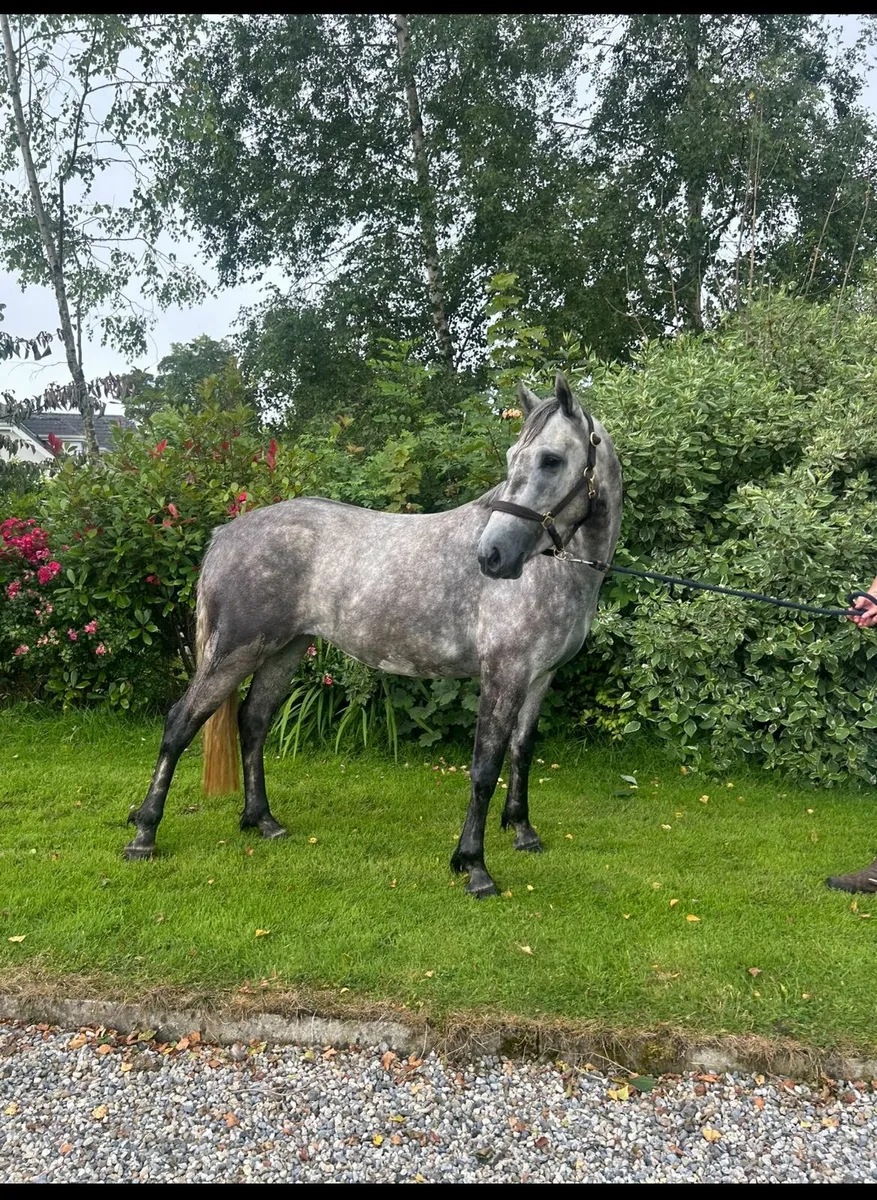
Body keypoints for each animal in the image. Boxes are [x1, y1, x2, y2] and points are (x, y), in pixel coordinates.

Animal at [124, 373, 623, 897]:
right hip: (233, 652)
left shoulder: (539, 677)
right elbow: (485, 767)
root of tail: (225, 534)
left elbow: (521, 752)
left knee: (253, 722)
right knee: (180, 724)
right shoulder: (503, 675)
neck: (555, 570)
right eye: (512, 460)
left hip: (283, 651)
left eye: (551, 460)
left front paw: (523, 832)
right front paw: (473, 866)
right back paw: (144, 835)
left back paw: (262, 821)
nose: (492, 555)